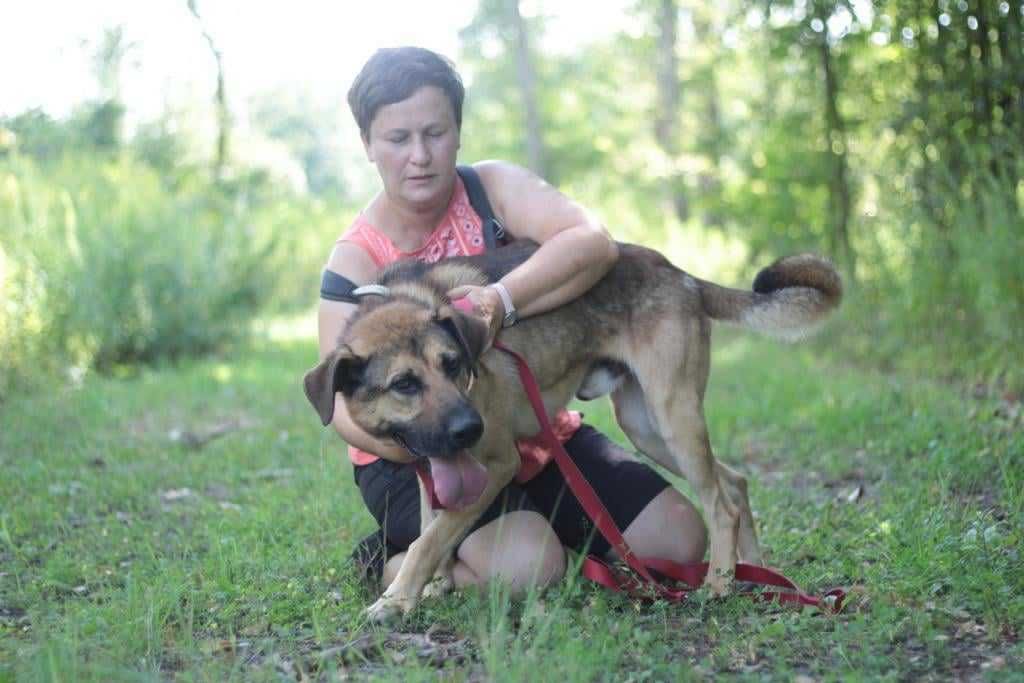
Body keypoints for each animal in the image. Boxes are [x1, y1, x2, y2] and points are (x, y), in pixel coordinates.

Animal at [301, 240, 839, 618]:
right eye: (404, 384)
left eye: (454, 365)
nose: (470, 428)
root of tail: (680, 274)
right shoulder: (431, 466)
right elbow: (432, 528)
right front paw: (429, 587)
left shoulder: (496, 463)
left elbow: (428, 539)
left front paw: (395, 601)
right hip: (648, 429)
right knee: (736, 482)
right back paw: (757, 573)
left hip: (673, 414)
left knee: (720, 503)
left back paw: (720, 585)